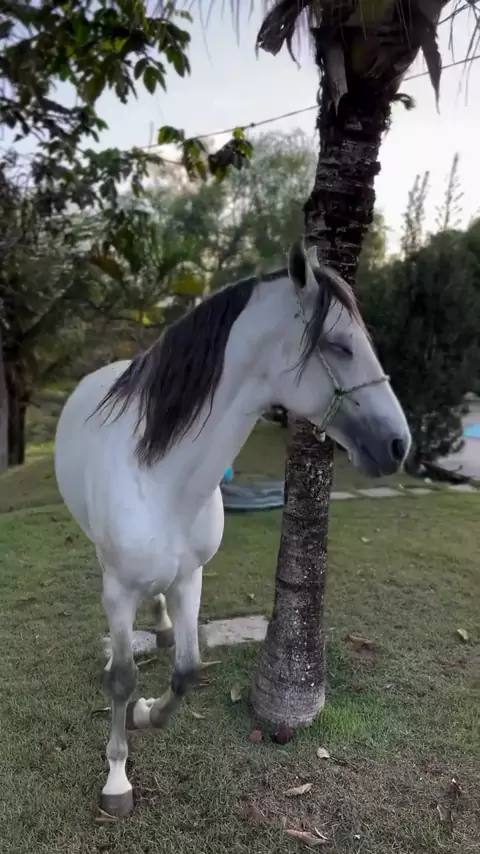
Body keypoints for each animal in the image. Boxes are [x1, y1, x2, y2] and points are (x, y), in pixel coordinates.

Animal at [54, 240, 411, 816]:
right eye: (338, 346)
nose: (399, 445)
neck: (161, 477)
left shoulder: (190, 577)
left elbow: (186, 671)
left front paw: (147, 714)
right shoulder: (119, 591)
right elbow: (122, 679)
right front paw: (117, 779)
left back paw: (162, 627)